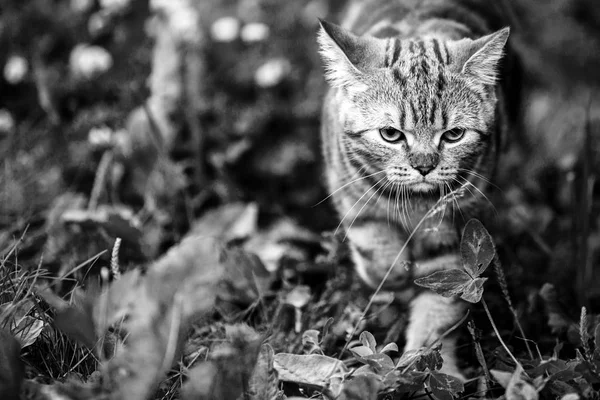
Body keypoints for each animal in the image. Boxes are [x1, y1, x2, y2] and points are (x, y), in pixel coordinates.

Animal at [316, 0, 516, 378]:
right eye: (390, 134)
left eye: (454, 134)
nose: (425, 165)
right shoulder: (353, 197)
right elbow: (379, 252)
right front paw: (395, 277)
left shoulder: (455, 232)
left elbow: (439, 310)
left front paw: (429, 364)